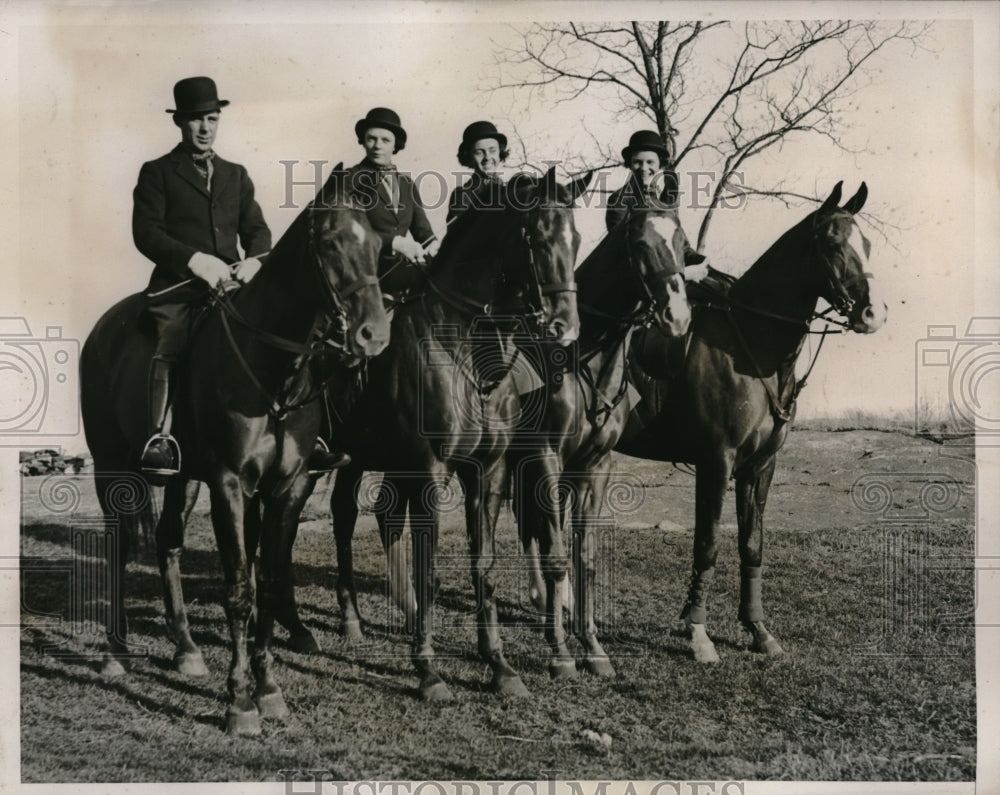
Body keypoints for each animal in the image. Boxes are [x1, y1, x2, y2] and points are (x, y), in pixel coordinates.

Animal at [80, 166, 390, 732]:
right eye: (330, 242)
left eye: (378, 245)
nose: (373, 336)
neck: (273, 372)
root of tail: (102, 328)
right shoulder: (229, 482)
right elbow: (240, 591)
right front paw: (240, 702)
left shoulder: (286, 486)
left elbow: (267, 581)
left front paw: (268, 690)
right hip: (112, 468)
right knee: (118, 546)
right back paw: (115, 653)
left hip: (181, 477)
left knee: (168, 542)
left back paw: (185, 649)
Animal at [322, 168, 592, 704]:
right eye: (536, 237)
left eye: (576, 240)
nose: (564, 328)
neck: (465, 347)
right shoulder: (430, 468)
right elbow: (427, 565)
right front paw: (427, 669)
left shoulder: (488, 470)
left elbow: (482, 561)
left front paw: (499, 665)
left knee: (348, 513)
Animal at [508, 204, 696, 676]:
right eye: (641, 243)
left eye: (682, 244)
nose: (678, 317)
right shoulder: (546, 459)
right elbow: (557, 553)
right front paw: (560, 652)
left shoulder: (593, 467)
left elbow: (585, 557)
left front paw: (591, 646)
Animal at [612, 183, 888, 664]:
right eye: (832, 243)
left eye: (867, 244)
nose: (872, 314)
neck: (752, 342)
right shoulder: (716, 462)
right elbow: (708, 545)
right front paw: (698, 634)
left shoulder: (759, 467)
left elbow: (751, 545)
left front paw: (758, 629)